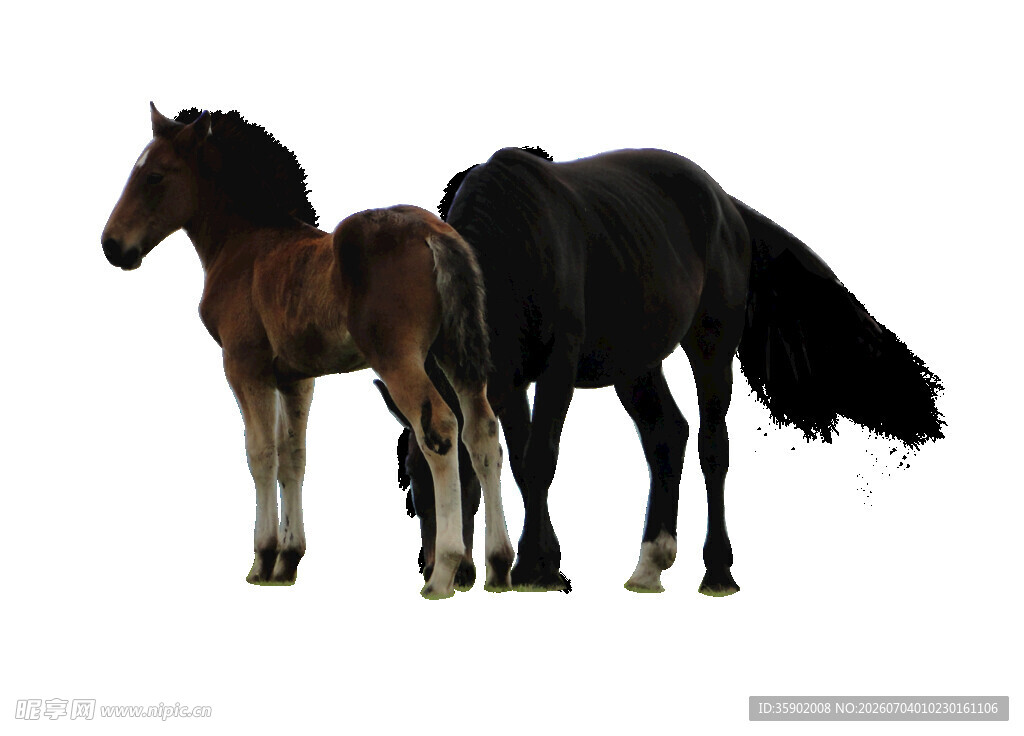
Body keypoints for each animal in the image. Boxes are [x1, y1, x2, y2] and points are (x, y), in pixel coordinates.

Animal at [100, 104, 515, 598]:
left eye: (155, 176)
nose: (111, 245)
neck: (243, 245)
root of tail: (436, 234)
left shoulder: (244, 367)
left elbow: (261, 455)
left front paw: (262, 559)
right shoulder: (296, 378)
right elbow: (292, 458)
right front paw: (288, 560)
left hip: (398, 358)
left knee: (441, 429)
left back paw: (444, 572)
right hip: (455, 353)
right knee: (483, 432)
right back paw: (499, 565)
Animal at [382, 146, 943, 595]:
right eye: (412, 488)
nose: (440, 571)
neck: (512, 247)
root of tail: (725, 204)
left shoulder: (557, 366)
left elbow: (540, 458)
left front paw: (535, 567)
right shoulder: (505, 381)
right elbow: (519, 461)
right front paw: (542, 560)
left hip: (711, 345)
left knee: (712, 448)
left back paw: (717, 570)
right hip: (636, 365)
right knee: (667, 436)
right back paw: (650, 562)